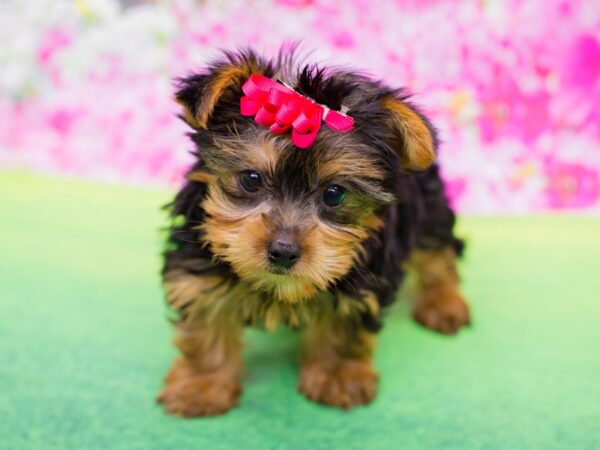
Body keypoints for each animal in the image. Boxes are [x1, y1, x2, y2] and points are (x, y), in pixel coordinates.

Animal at [157, 47, 472, 416]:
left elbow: (343, 326)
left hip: (429, 207)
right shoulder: (196, 263)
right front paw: (201, 384)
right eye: (251, 179)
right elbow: (205, 321)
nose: (283, 251)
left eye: (334, 193)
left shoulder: (362, 280)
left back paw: (444, 303)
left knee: (438, 252)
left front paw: (337, 375)